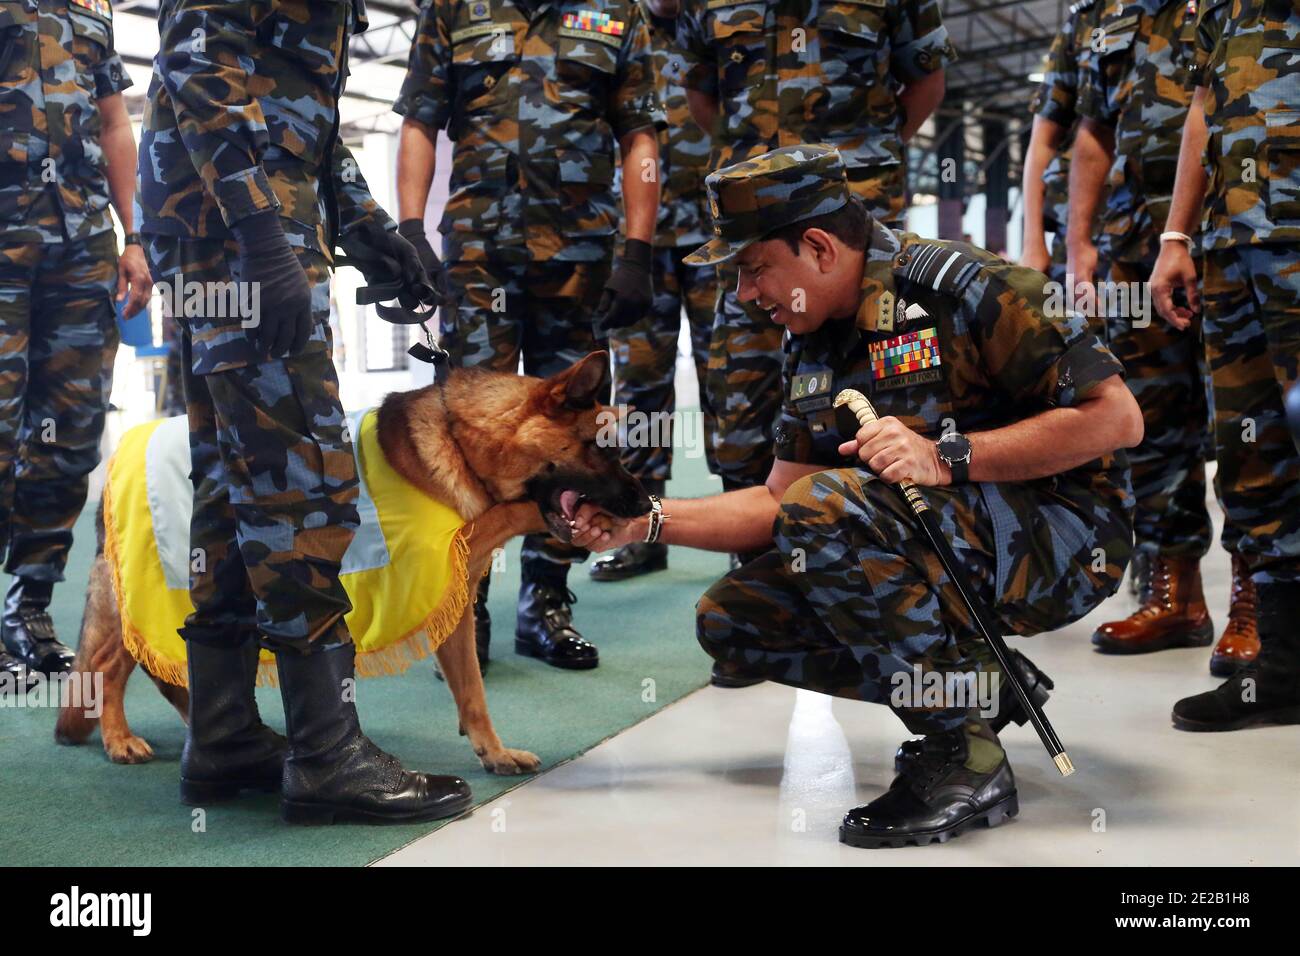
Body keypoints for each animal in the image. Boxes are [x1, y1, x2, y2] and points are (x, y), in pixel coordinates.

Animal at [55, 351, 650, 780]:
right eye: (604, 450)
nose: (646, 505)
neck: (462, 445)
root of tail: (117, 459)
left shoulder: (450, 604)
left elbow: (472, 692)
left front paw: (492, 751)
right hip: (149, 594)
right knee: (106, 666)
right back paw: (118, 738)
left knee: (165, 667)